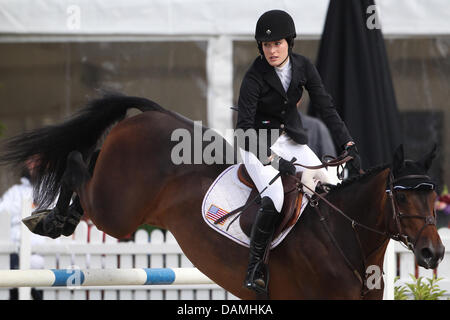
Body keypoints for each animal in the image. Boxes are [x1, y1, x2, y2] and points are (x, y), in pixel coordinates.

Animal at [0, 94, 442, 298]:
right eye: (402, 199)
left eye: (433, 196)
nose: (434, 253)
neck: (345, 240)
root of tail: (151, 115)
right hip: (118, 211)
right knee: (80, 163)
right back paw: (51, 216)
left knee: (87, 168)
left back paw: (56, 219)